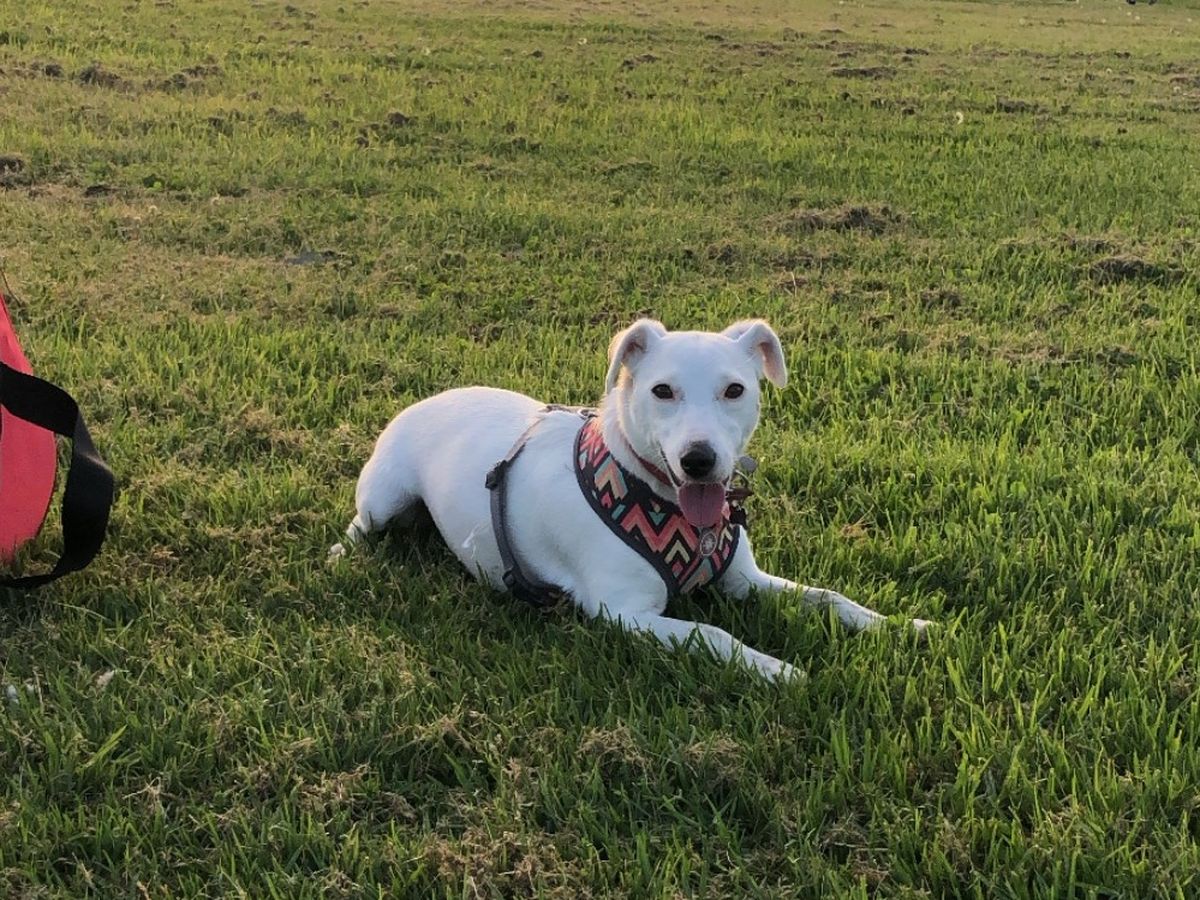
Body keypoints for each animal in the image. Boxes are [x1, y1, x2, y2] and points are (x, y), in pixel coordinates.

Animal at [331, 319, 930, 681]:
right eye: (661, 391)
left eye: (735, 390)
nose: (699, 460)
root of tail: (427, 399)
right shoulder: (624, 613)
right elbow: (715, 634)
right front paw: (777, 670)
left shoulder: (744, 581)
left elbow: (830, 598)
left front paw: (901, 626)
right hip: (384, 495)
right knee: (362, 523)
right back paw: (345, 552)